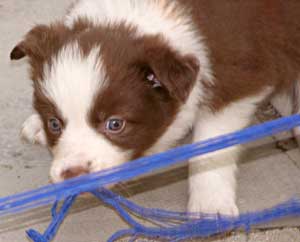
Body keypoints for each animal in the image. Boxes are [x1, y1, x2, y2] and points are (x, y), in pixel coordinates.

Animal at [10, 0, 300, 216]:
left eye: (115, 124)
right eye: (54, 123)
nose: (74, 174)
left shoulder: (240, 76)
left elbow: (211, 143)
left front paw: (209, 204)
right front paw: (36, 123)